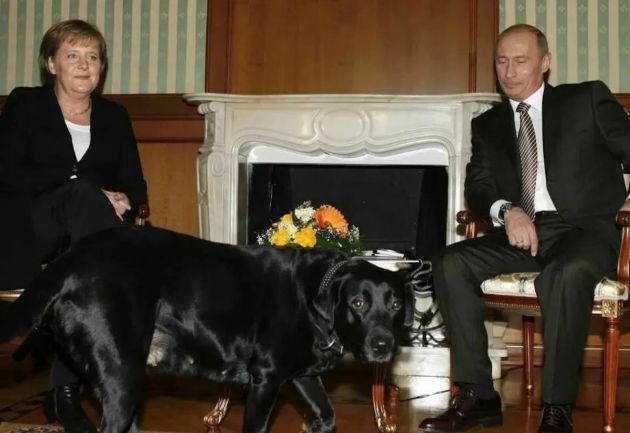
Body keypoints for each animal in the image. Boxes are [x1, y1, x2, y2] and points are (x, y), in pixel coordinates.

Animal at [0, 225, 414, 433]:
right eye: (357, 304)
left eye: (395, 305)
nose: (383, 346)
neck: (312, 294)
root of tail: (73, 257)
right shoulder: (266, 379)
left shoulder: (301, 376)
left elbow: (327, 417)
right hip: (123, 378)